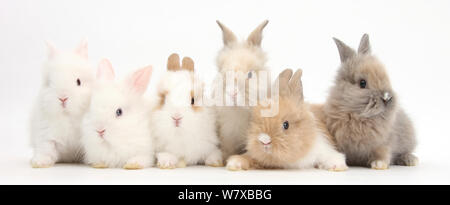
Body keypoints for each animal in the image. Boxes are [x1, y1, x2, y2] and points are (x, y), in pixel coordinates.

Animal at [29, 40, 93, 168]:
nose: (63, 98)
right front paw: (40, 162)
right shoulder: (45, 135)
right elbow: (46, 149)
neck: (67, 116)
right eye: (49, 82)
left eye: (78, 81)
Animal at [316, 34, 418, 170]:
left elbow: (382, 153)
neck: (358, 117)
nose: (387, 97)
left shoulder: (384, 142)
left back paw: (411, 160)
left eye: (386, 77)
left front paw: (379, 164)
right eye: (362, 83)